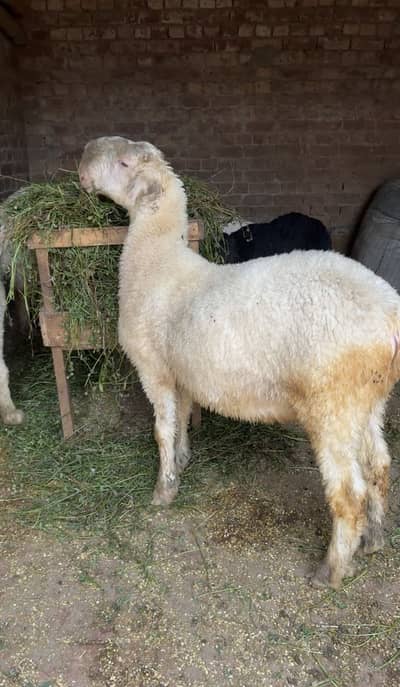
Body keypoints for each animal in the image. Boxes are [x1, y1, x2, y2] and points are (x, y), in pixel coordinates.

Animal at [79, 136, 400, 589]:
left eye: (124, 163)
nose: (84, 157)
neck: (158, 262)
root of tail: (389, 315)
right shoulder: (182, 374)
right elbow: (181, 421)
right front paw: (182, 460)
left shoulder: (154, 369)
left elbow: (161, 431)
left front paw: (163, 491)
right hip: (368, 400)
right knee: (379, 468)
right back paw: (372, 539)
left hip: (332, 404)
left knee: (348, 495)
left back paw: (332, 569)